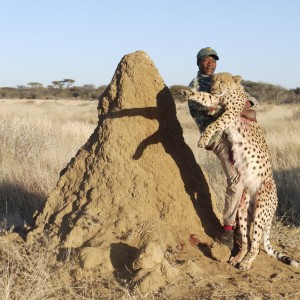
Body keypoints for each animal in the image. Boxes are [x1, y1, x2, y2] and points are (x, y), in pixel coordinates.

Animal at [179, 73, 298, 272]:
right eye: (212, 81)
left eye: (221, 81)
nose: (213, 88)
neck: (231, 91)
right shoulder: (216, 101)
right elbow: (204, 97)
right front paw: (187, 92)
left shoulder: (230, 113)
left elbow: (214, 124)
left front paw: (203, 139)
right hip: (243, 210)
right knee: (246, 240)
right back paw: (237, 258)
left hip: (260, 211)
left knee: (256, 243)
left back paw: (246, 262)